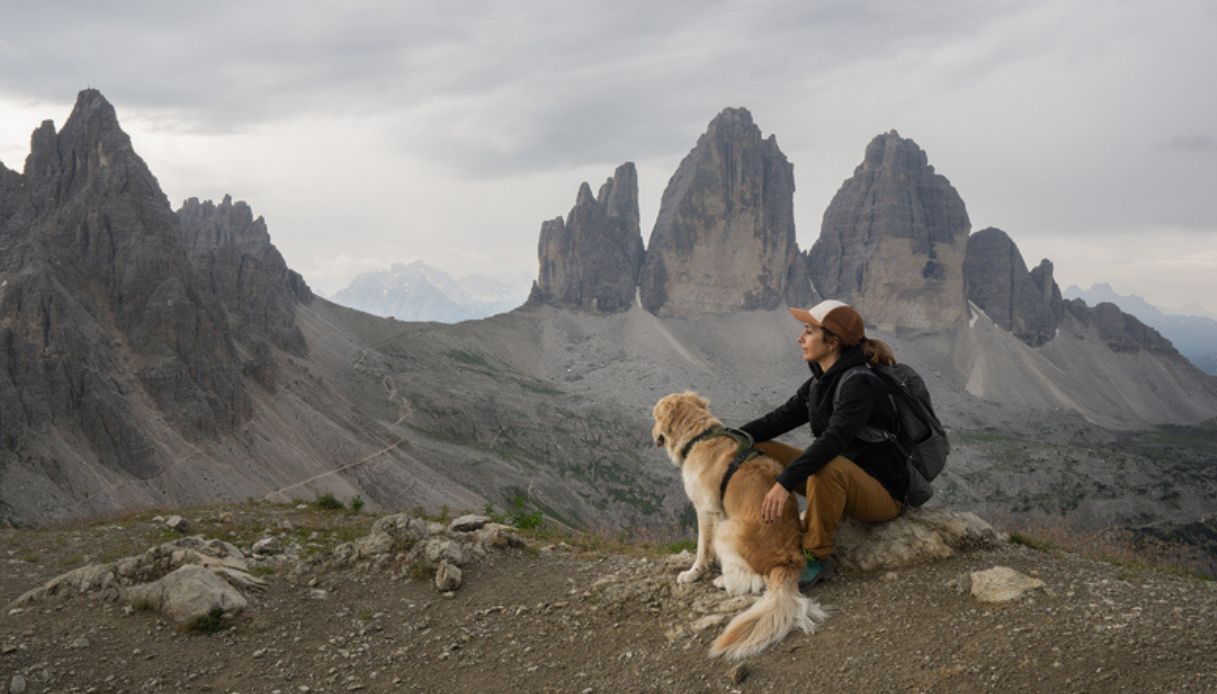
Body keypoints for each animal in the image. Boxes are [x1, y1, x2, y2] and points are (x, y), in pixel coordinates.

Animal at [647, 392, 827, 657]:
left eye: (655, 417)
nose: (652, 433)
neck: (698, 436)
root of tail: (787, 562)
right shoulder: (717, 512)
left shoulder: (706, 509)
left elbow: (701, 547)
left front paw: (693, 573)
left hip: (728, 530)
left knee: (753, 582)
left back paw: (723, 580)